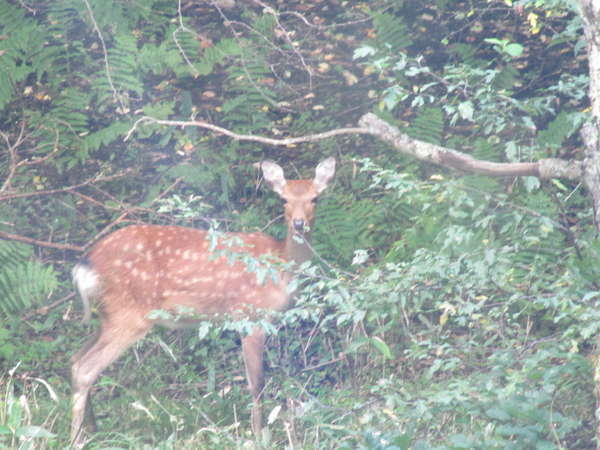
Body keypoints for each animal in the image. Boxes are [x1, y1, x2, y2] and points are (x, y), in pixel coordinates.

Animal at [70, 157, 338, 442]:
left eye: (315, 198)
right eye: (284, 199)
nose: (298, 223)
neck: (280, 267)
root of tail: (86, 263)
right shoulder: (250, 315)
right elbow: (257, 383)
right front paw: (258, 436)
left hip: (109, 314)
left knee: (76, 360)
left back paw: (93, 431)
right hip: (129, 313)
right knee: (86, 368)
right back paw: (76, 438)